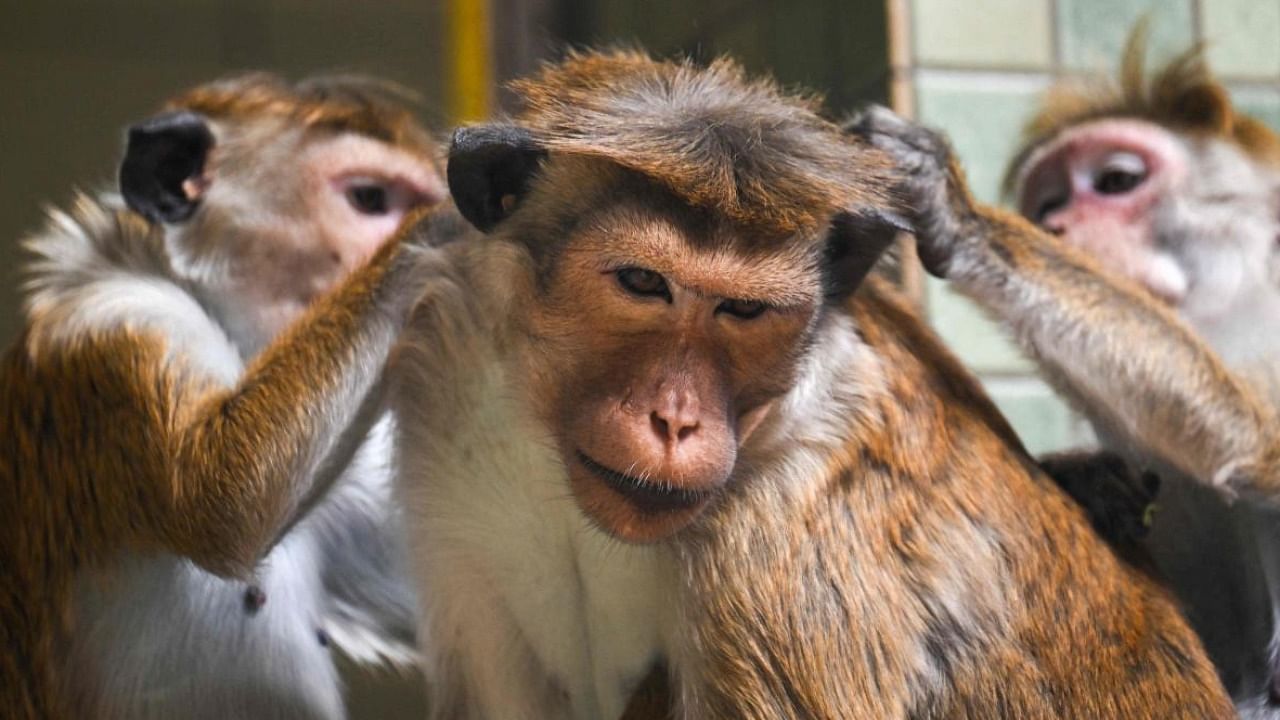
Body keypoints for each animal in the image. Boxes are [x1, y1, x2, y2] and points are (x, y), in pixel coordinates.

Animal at [844, 28, 1280, 712]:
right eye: (1049, 199)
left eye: (1116, 180)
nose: (1054, 224)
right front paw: (1085, 475)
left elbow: (1254, 441)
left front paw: (961, 217)